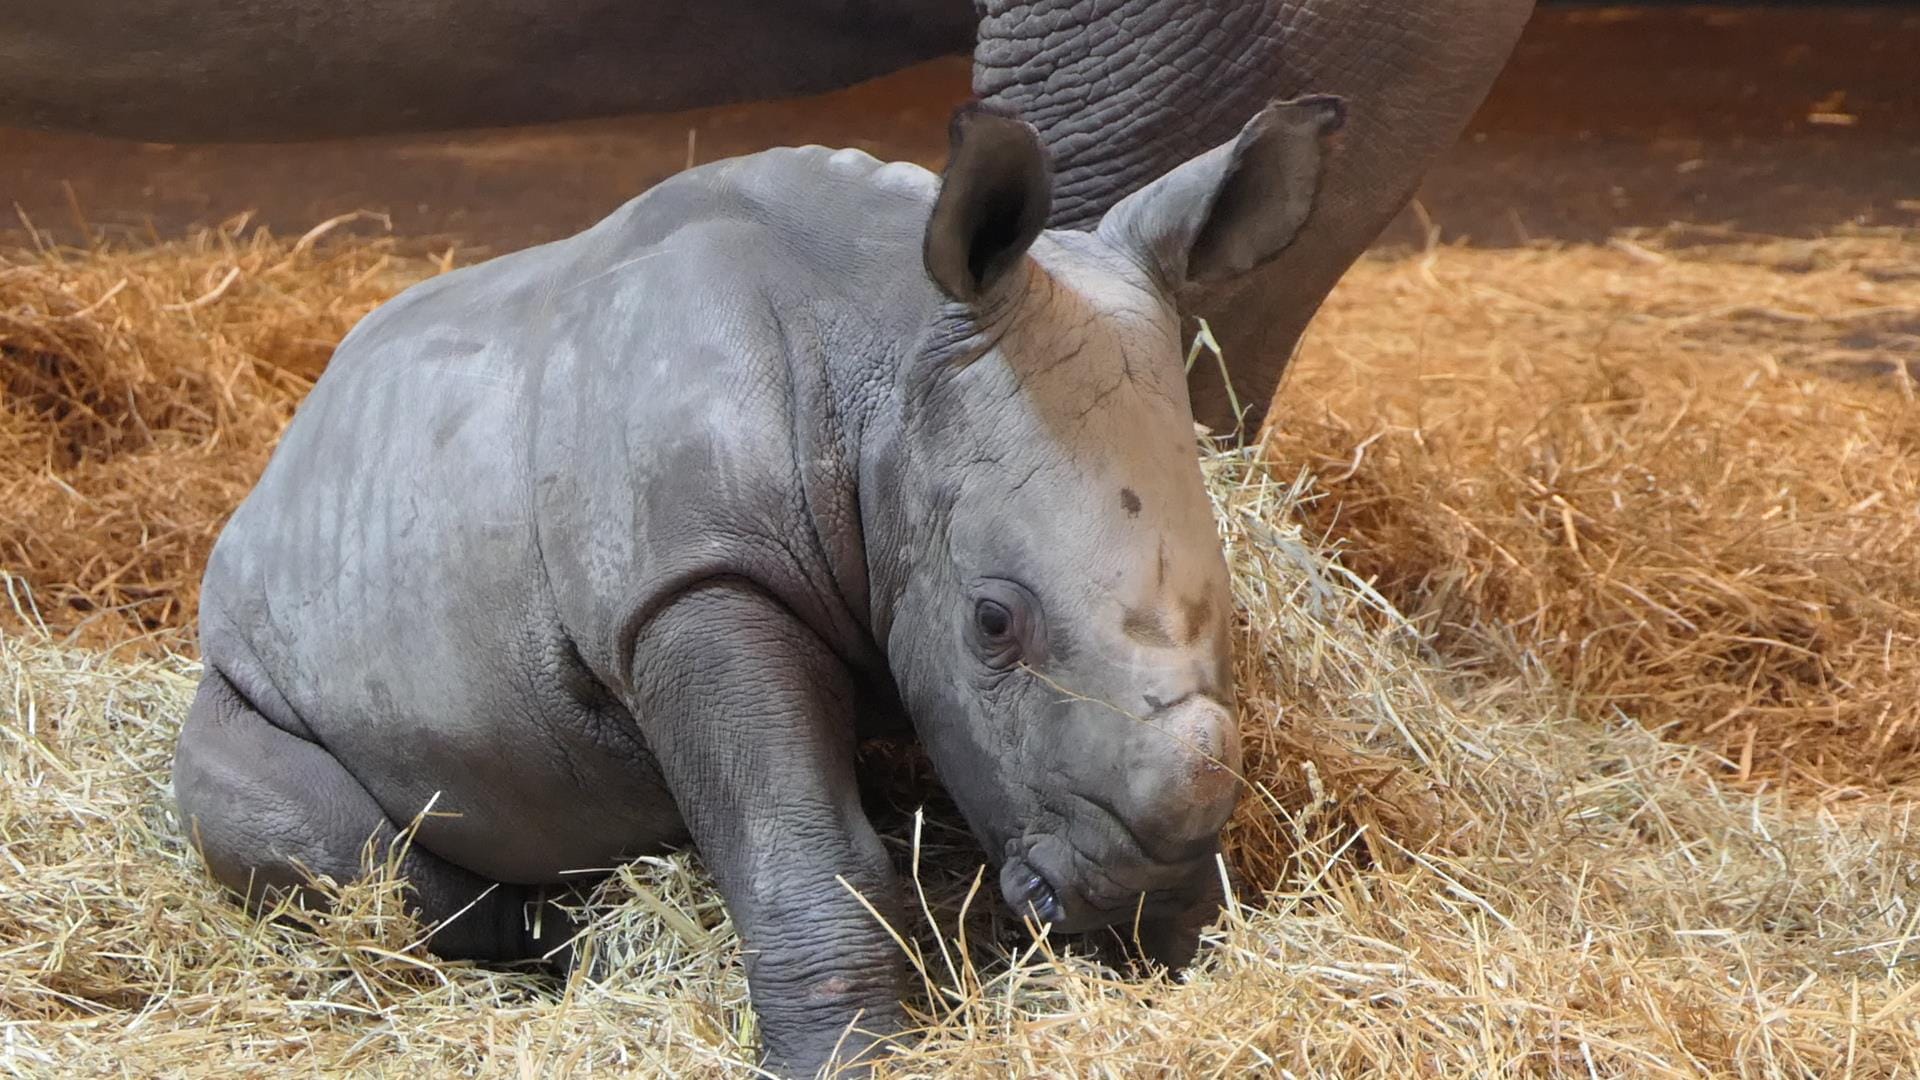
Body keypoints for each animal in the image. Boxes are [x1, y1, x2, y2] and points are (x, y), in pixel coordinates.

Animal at [180, 98, 1344, 1068]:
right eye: (992, 622)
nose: (1140, 883)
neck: (883, 350)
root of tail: (282, 462)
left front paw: (1182, 951)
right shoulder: (694, 583)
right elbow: (807, 850)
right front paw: (850, 1060)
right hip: (246, 660)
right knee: (333, 844)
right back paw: (556, 946)